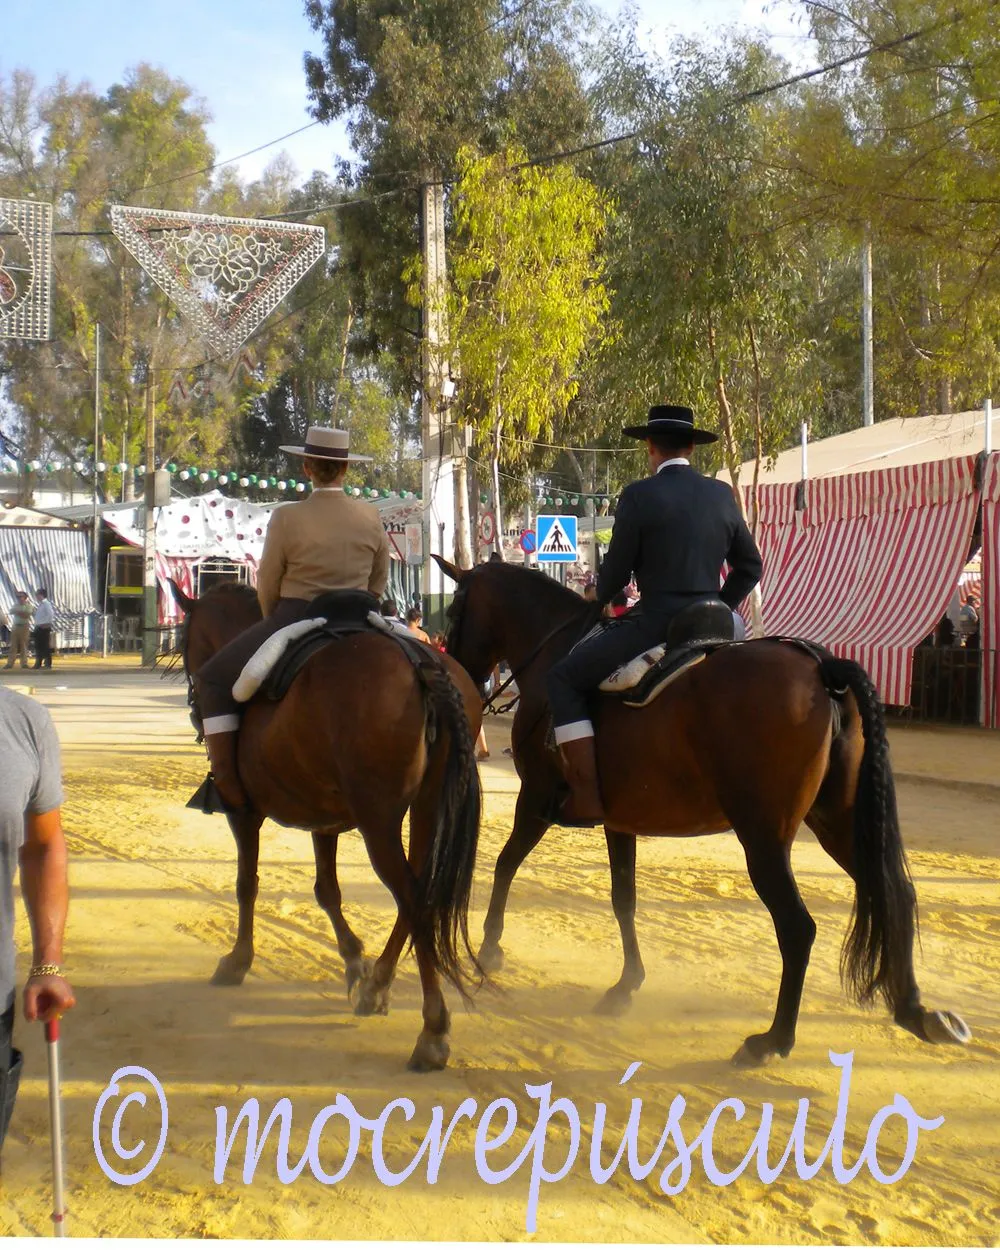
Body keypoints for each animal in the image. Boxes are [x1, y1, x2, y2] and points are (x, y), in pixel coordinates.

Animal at [172, 580, 485, 1070]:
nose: (191, 703)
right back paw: (378, 986)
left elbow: (247, 884)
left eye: (185, 641)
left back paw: (432, 1028)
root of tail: (423, 665)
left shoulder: (245, 814)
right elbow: (327, 891)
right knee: (417, 894)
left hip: (378, 820)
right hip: (427, 808)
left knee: (414, 898)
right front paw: (355, 961)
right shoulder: (325, 819)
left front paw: (238, 960)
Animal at [435, 557, 970, 1065]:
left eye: (455, 609)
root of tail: (822, 666)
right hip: (837, 822)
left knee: (797, 927)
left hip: (763, 837)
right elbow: (623, 898)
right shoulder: (618, 820)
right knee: (894, 890)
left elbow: (505, 863)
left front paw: (490, 945)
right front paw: (626, 985)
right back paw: (916, 1010)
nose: (455, 673)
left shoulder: (536, 799)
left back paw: (772, 1040)